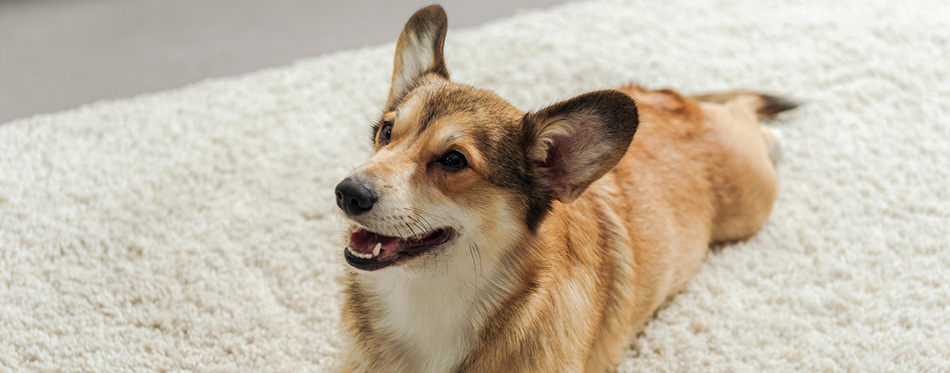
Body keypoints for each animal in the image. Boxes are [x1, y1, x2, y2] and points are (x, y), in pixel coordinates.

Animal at [334, 4, 796, 370]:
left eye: (453, 161)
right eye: (386, 131)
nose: (346, 193)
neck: (428, 301)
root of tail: (678, 102)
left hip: (751, 204)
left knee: (745, 114)